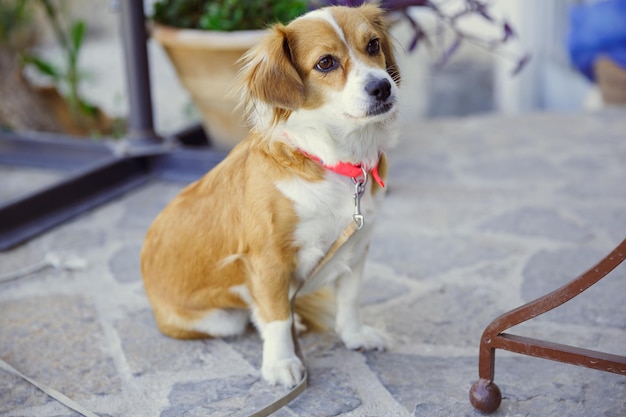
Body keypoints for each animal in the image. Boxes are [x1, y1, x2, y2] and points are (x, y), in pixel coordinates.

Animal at [139, 2, 398, 386]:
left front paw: (354, 334)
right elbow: (276, 316)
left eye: (373, 45)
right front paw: (281, 362)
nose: (382, 87)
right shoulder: (268, 260)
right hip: (219, 320)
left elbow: (350, 300)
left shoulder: (355, 246)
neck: (331, 158)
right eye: (326, 63)